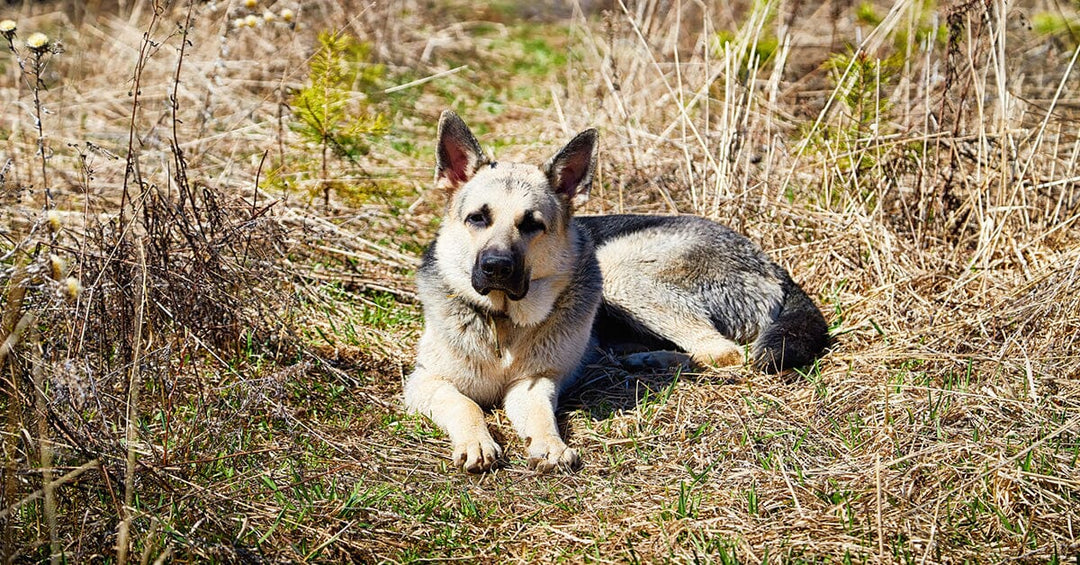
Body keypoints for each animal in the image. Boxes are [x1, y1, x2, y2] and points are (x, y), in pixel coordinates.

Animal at [406, 110, 825, 473]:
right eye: (478, 218)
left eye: (532, 225)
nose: (496, 267)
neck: (502, 320)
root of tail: (772, 265)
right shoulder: (426, 383)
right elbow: (464, 404)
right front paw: (477, 442)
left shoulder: (535, 383)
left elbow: (540, 415)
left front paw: (550, 445)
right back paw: (643, 358)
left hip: (617, 269)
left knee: (725, 353)